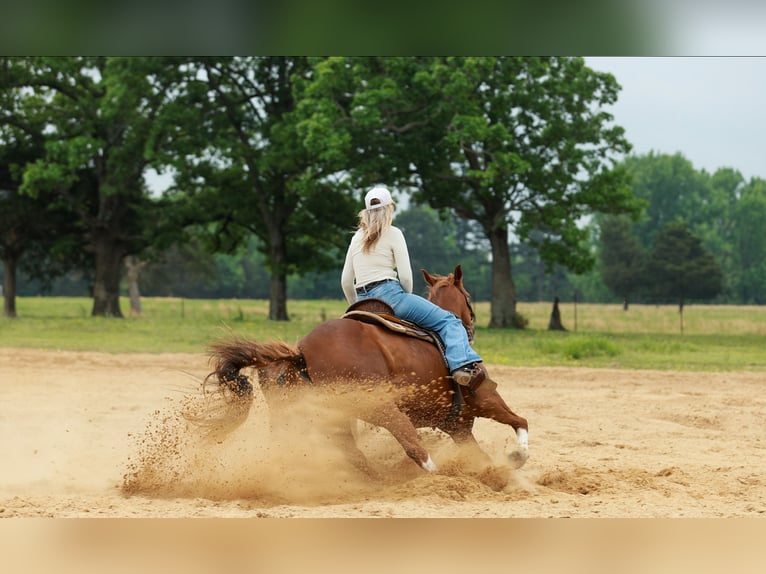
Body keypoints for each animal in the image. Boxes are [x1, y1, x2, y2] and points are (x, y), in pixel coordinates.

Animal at [206, 265, 529, 474]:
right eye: (469, 297)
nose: (471, 326)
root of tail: (300, 353)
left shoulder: (458, 427)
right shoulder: (487, 400)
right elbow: (520, 421)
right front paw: (517, 457)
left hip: (317, 416)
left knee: (346, 453)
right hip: (379, 406)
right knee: (413, 446)